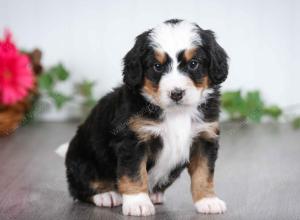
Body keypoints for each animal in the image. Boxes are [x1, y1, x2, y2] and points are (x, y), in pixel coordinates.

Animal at [65, 19, 227, 217]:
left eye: (194, 64)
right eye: (157, 66)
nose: (176, 93)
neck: (177, 112)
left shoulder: (204, 137)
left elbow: (204, 173)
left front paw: (207, 200)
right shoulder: (132, 140)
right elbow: (134, 173)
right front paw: (138, 203)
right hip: (82, 162)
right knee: (79, 188)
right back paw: (106, 195)